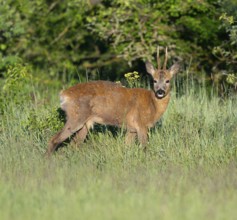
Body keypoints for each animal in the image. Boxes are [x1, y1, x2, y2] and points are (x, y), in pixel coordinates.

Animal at [45, 47, 180, 156]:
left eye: (167, 80)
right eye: (154, 80)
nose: (160, 92)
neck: (152, 105)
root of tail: (64, 94)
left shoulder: (131, 129)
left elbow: (126, 147)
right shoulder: (141, 124)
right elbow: (144, 148)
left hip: (85, 123)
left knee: (74, 144)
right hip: (76, 117)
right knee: (54, 139)